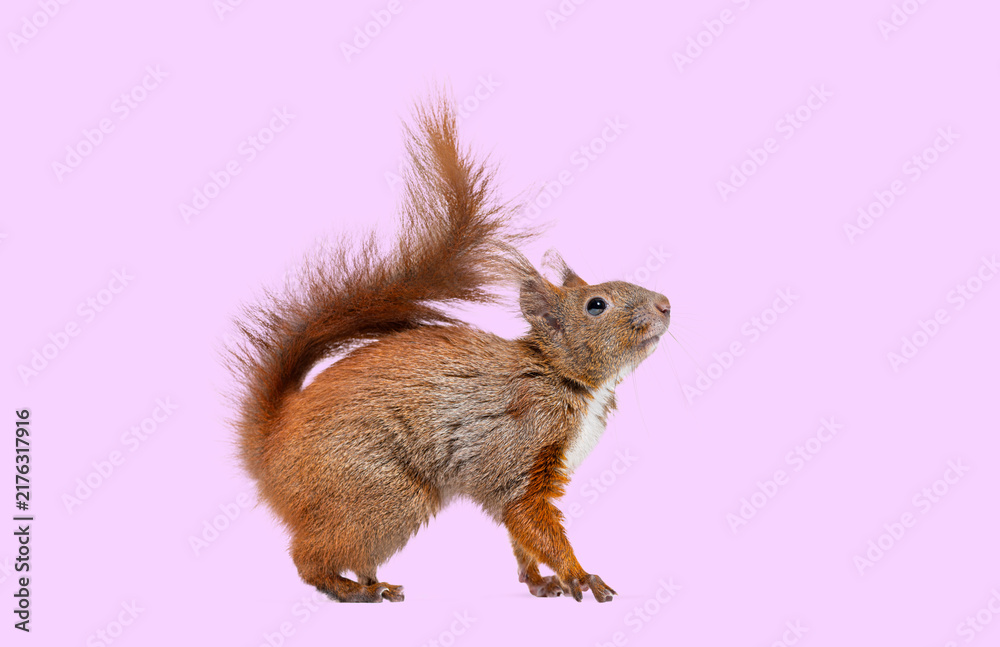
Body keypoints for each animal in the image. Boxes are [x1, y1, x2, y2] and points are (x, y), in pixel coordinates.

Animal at [227, 95, 670, 604]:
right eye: (596, 305)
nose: (666, 304)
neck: (561, 375)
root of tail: (270, 444)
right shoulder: (519, 450)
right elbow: (528, 519)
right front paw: (579, 575)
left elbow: (520, 536)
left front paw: (540, 582)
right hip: (384, 493)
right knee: (309, 557)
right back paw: (353, 590)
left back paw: (370, 581)